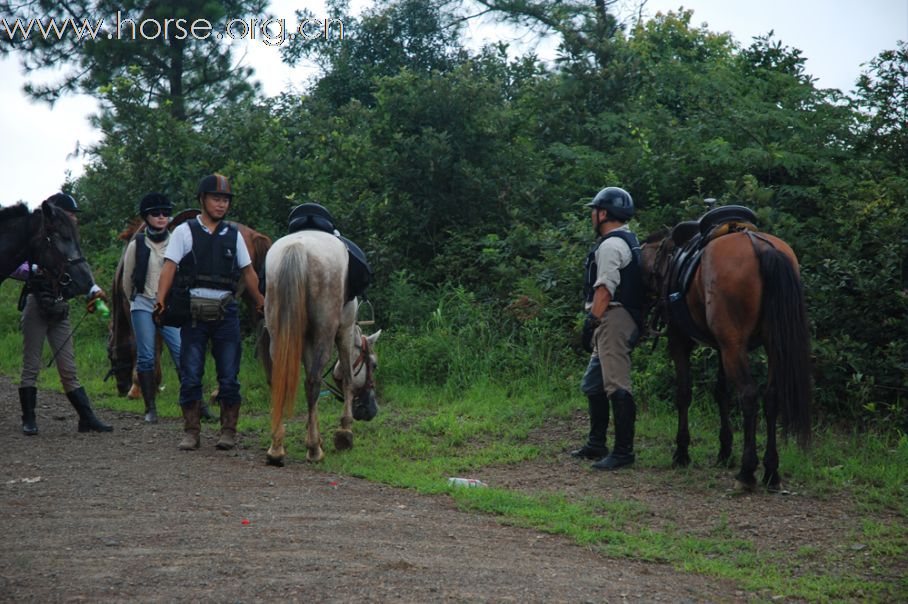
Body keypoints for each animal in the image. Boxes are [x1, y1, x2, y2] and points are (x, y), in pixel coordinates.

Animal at [262, 229, 380, 464]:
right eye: (373, 364)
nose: (371, 411)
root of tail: (297, 248)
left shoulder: (307, 340)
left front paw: (312, 433)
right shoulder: (344, 331)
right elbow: (348, 377)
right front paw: (344, 432)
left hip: (277, 334)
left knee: (280, 380)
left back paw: (276, 448)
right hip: (325, 332)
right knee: (313, 383)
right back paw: (314, 450)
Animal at [640, 228, 812, 490]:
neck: (671, 260)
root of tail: (762, 247)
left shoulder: (680, 342)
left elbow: (683, 395)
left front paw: (682, 452)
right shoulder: (722, 347)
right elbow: (722, 394)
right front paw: (724, 450)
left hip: (735, 346)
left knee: (749, 395)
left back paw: (747, 471)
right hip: (766, 345)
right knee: (771, 397)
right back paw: (771, 470)